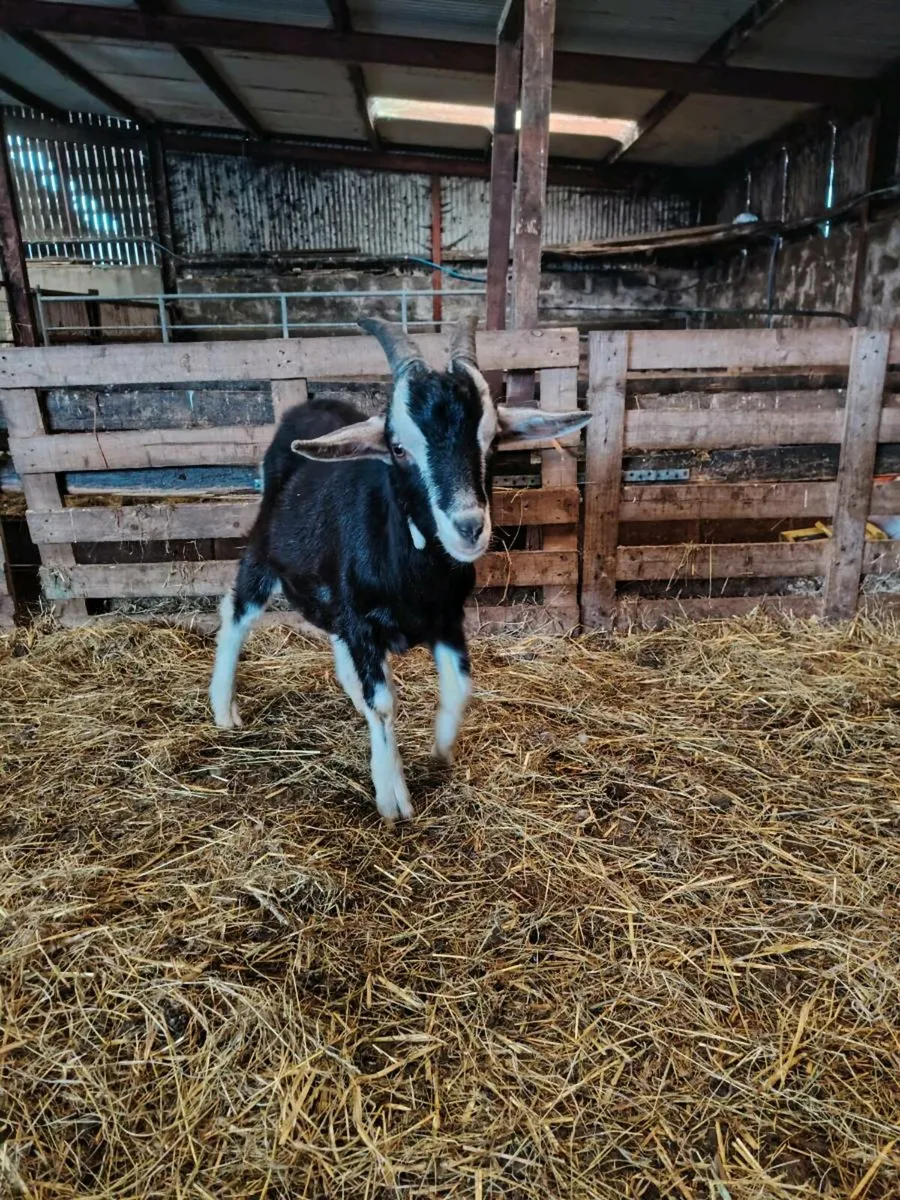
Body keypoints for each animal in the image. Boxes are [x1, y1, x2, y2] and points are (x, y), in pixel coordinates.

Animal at [209, 316, 589, 820]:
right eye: (398, 449)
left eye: (491, 441)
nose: (469, 527)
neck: (416, 575)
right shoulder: (363, 620)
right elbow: (384, 704)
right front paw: (393, 795)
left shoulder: (447, 618)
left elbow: (460, 687)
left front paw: (440, 750)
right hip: (265, 547)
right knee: (236, 611)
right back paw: (223, 707)